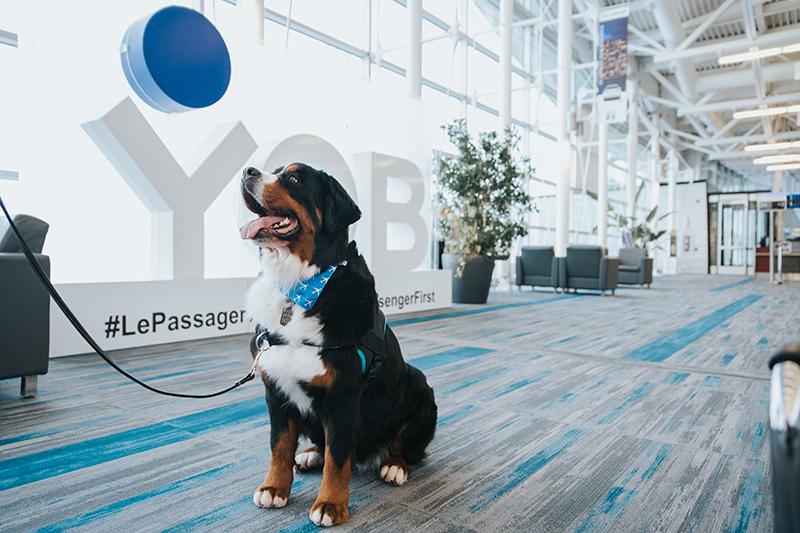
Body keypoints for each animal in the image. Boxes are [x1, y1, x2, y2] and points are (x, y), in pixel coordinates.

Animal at [239, 161, 438, 524]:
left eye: (293, 178)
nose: (248, 172)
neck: (300, 288)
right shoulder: (276, 388)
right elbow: (279, 445)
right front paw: (274, 488)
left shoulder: (343, 396)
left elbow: (339, 458)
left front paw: (330, 505)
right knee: (318, 445)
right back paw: (309, 454)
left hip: (419, 384)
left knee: (404, 447)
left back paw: (394, 466)